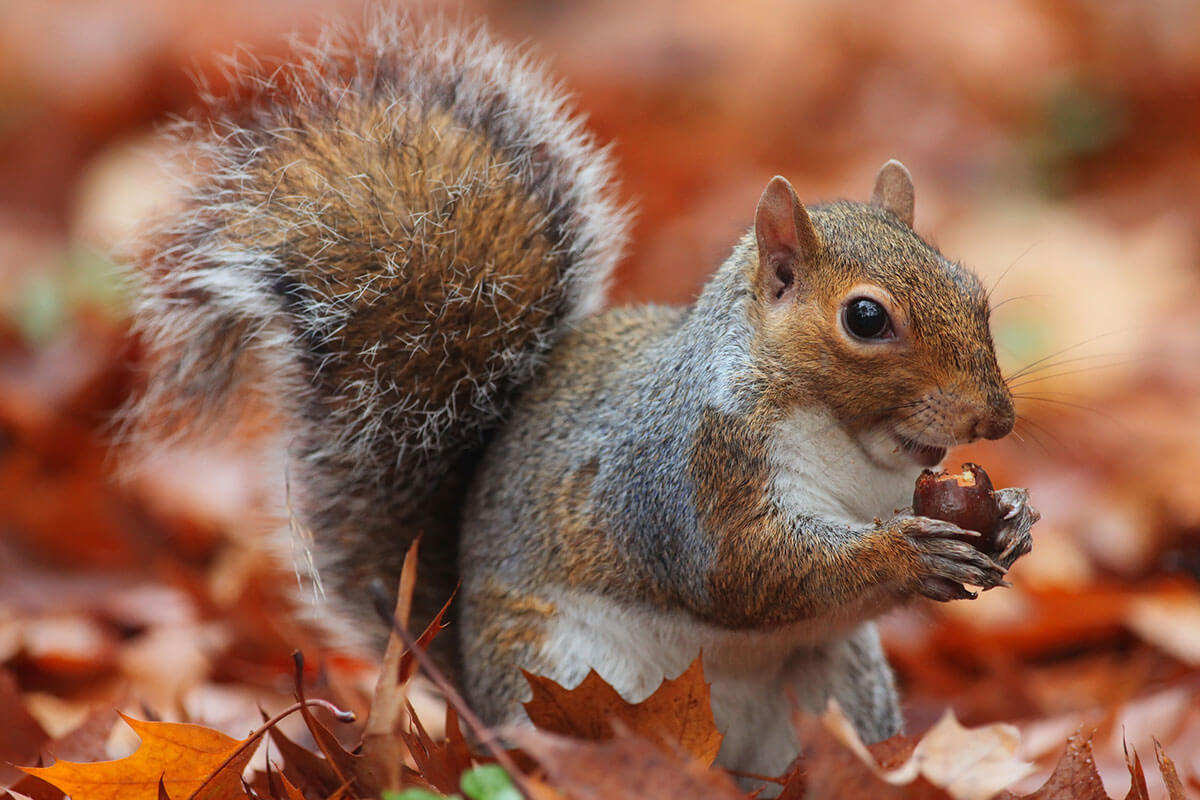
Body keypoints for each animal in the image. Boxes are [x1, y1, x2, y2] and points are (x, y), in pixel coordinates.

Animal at [126, 10, 1036, 782]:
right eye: (866, 318)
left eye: (971, 290)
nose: (995, 419)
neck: (852, 448)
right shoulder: (683, 476)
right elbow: (744, 572)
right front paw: (905, 554)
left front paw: (1013, 519)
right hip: (564, 679)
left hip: (836, 687)